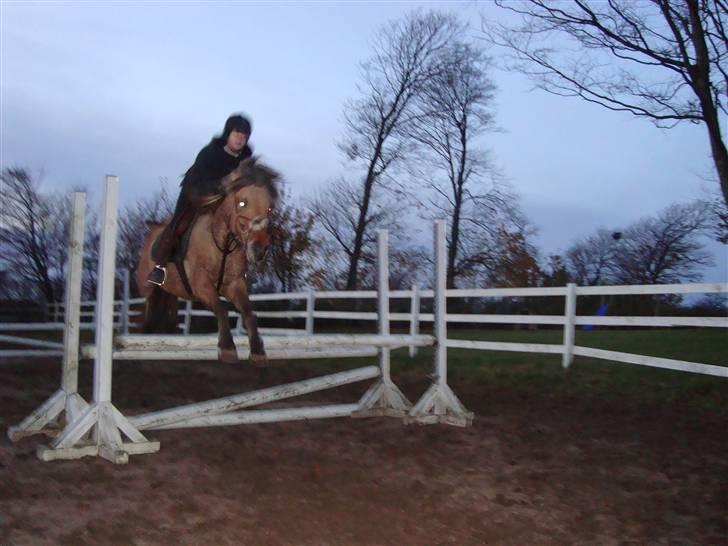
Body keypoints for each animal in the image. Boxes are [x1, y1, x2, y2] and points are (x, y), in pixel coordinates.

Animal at [138, 155, 280, 364]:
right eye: (242, 203)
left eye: (269, 208)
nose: (259, 249)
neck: (222, 246)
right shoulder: (201, 285)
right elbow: (221, 308)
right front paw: (227, 348)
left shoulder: (234, 284)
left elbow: (249, 312)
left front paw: (257, 351)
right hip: (148, 289)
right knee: (147, 311)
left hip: (170, 292)